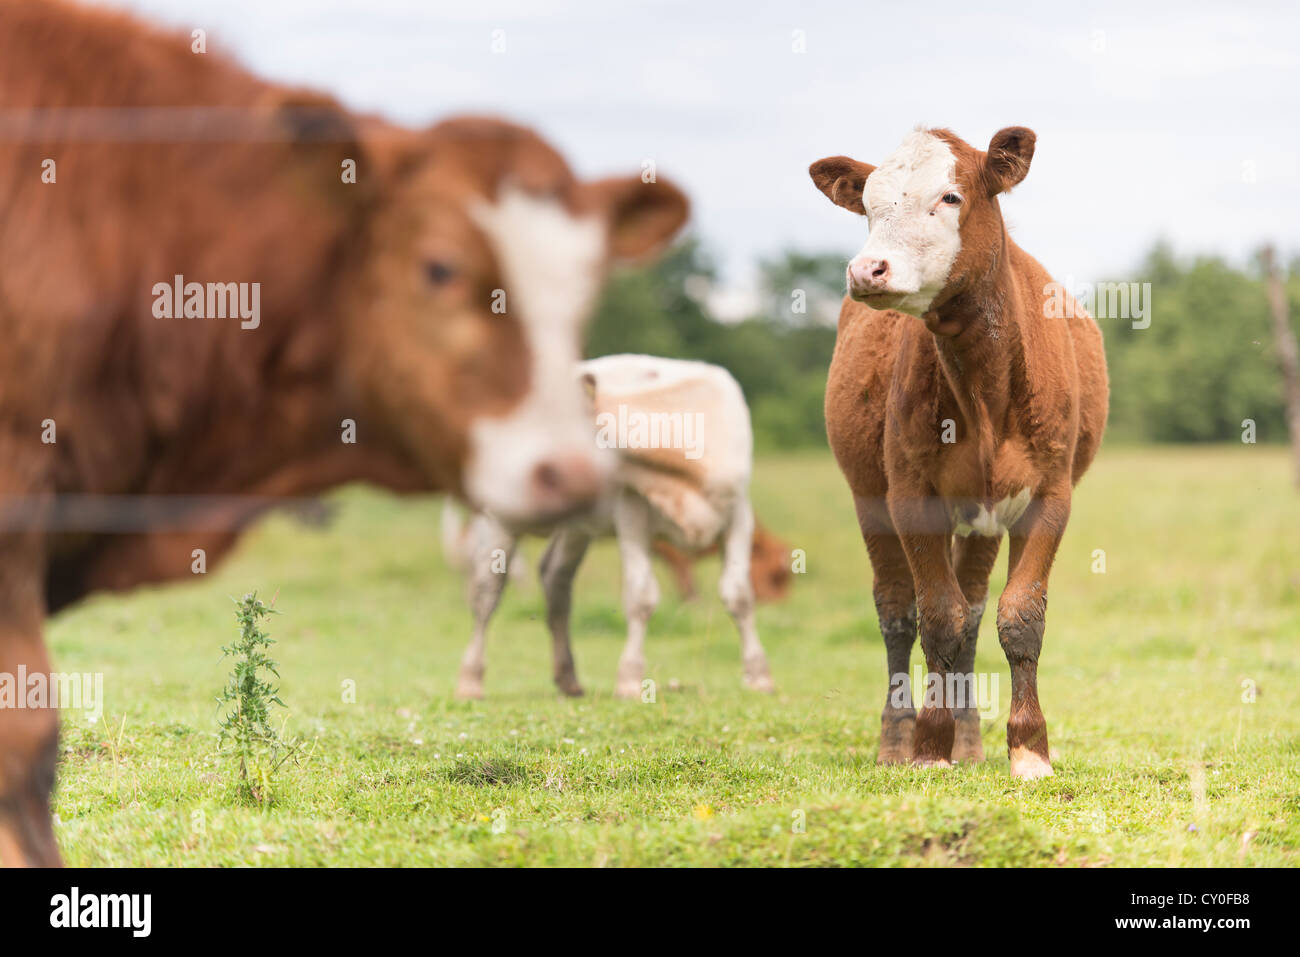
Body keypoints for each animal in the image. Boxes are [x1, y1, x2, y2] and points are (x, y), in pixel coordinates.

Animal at [449, 356, 769, 696]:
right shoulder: (630, 510)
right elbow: (641, 596)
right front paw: (629, 679)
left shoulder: (740, 511)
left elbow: (739, 595)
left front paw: (759, 676)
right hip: (498, 521)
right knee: (486, 593)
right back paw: (470, 679)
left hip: (575, 529)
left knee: (554, 578)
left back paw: (568, 679)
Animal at [811, 125, 1107, 780]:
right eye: (869, 206)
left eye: (950, 196)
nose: (868, 269)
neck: (985, 384)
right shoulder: (909, 494)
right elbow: (935, 616)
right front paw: (928, 744)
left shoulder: (1050, 493)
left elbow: (1016, 615)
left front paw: (1029, 747)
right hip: (868, 496)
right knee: (899, 611)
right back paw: (897, 738)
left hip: (982, 519)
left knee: (972, 610)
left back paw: (970, 740)